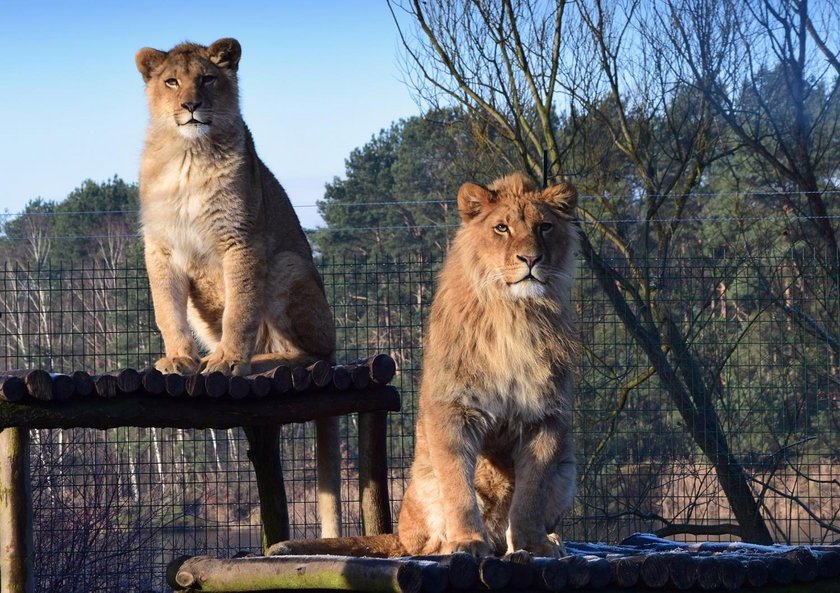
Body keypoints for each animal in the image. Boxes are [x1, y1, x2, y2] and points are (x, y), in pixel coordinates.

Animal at [272, 172, 580, 560]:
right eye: (502, 228)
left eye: (545, 227)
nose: (531, 258)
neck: (515, 313)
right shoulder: (452, 408)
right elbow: (458, 486)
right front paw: (466, 542)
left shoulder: (545, 417)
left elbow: (531, 493)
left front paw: (532, 544)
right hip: (421, 480)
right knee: (419, 541)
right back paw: (446, 544)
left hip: (567, 467)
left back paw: (542, 541)